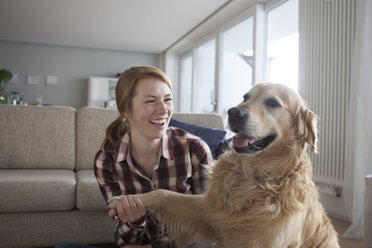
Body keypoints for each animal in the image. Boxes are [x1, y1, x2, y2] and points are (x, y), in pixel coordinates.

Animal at [108, 82, 340, 247]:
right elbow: (162, 193)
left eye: (273, 103)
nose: (234, 112)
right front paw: (125, 199)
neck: (253, 177)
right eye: (246, 97)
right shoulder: (206, 209)